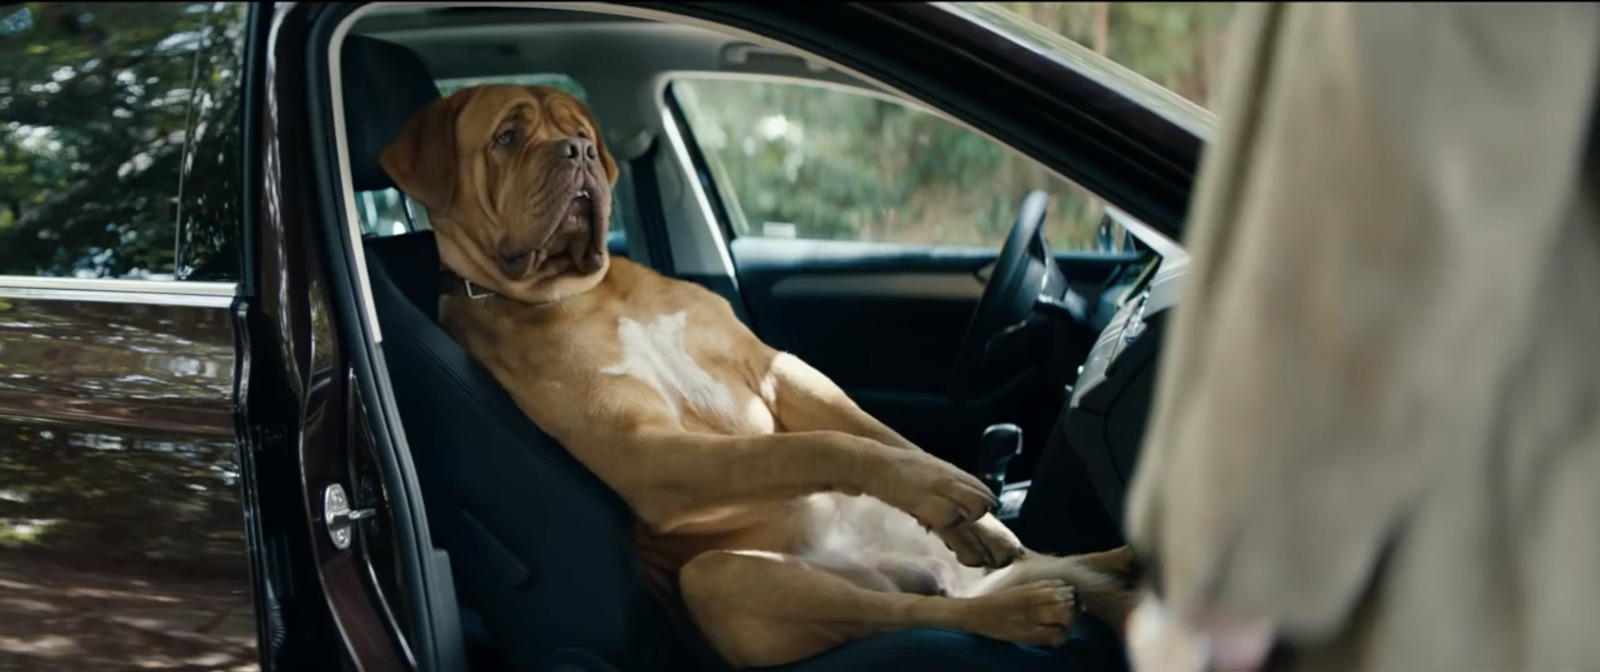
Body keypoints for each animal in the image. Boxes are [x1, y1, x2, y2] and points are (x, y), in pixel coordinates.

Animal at [380, 84, 1145, 665]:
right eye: (507, 138)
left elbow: (876, 435)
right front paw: (940, 491)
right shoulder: (649, 454)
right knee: (902, 613)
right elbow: (813, 448)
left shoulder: (779, 372)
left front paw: (971, 513)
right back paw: (1021, 612)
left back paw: (1113, 562)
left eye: (582, 135)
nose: (578, 153)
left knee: (1041, 564)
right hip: (724, 580)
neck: (582, 292)